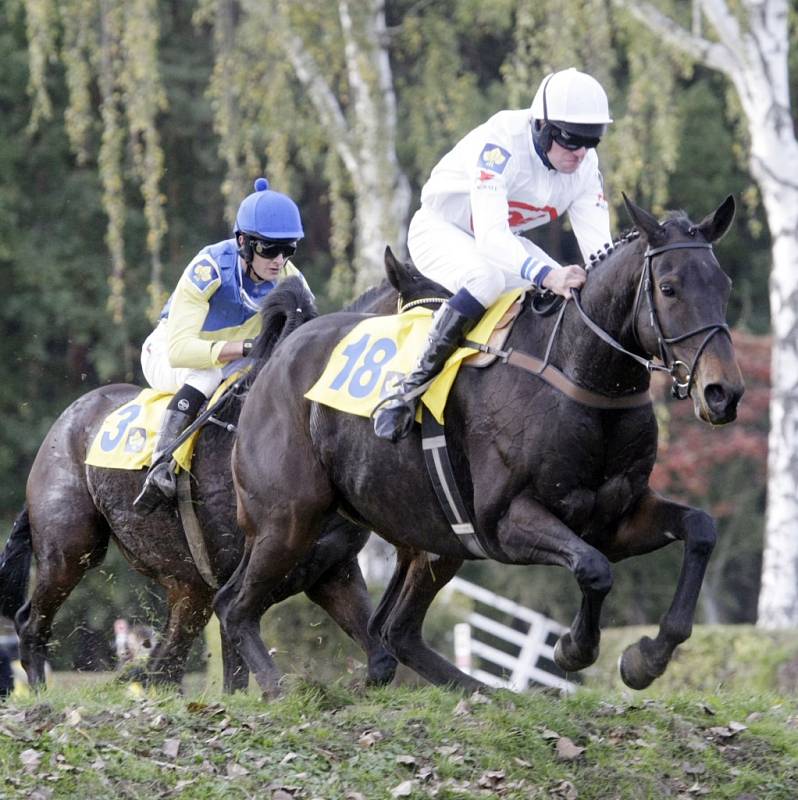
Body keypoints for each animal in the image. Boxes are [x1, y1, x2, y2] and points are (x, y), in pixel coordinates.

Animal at [0, 278, 400, 692]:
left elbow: (381, 658)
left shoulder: (330, 569)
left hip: (188, 587)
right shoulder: (235, 568)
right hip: (70, 548)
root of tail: (67, 419)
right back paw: (41, 694)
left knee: (164, 664)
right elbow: (235, 671)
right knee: (31, 620)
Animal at [214, 194, 752, 692]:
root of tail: (280, 354)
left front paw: (646, 659)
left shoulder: (615, 518)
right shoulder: (505, 521)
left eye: (723, 285)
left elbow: (700, 530)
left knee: (393, 629)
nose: (722, 392)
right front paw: (574, 648)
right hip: (289, 520)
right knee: (234, 604)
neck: (580, 375)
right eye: (669, 288)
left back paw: (486, 694)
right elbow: (594, 568)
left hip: (430, 539)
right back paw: (277, 688)